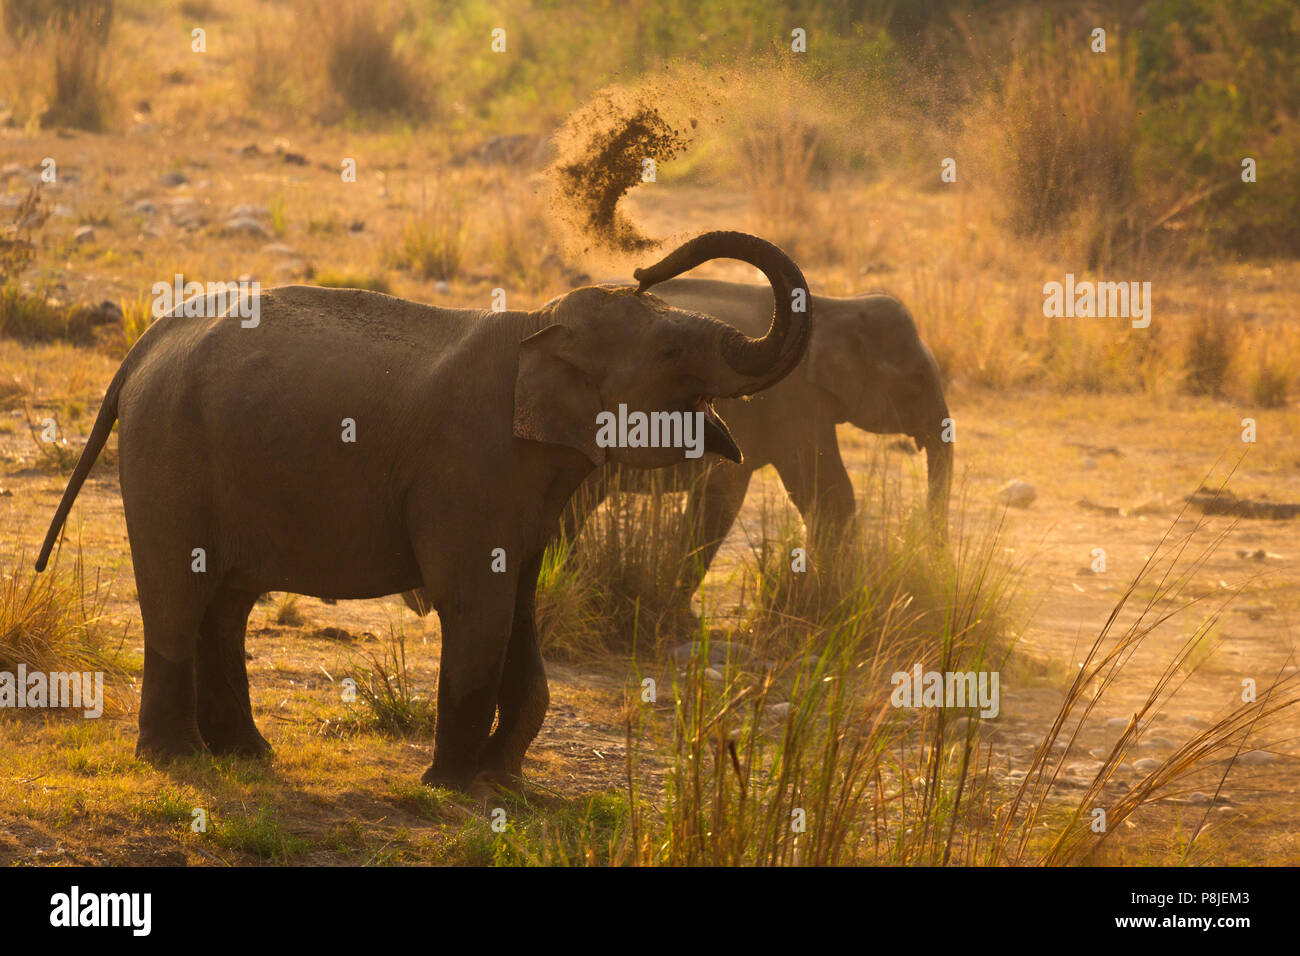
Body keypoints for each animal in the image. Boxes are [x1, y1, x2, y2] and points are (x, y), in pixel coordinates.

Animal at [34, 231, 812, 792]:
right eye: (673, 349)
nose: (646, 265)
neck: (539, 326)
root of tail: (144, 346)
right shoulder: (469, 468)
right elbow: (475, 603)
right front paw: (452, 788)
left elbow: (519, 603)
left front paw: (505, 783)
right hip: (168, 451)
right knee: (178, 593)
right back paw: (178, 762)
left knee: (222, 604)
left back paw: (248, 756)